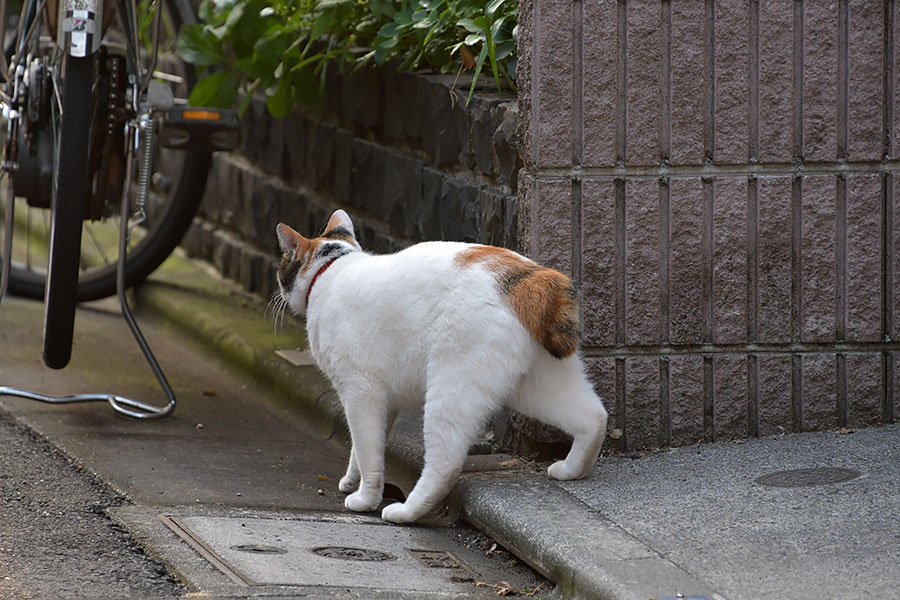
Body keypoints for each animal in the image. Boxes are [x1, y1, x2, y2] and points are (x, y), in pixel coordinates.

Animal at [276, 211, 612, 524]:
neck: (331, 270)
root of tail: (531, 275)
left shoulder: (361, 392)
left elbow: (368, 450)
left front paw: (366, 498)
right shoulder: (386, 400)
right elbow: (361, 449)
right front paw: (350, 480)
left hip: (451, 390)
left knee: (445, 464)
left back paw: (406, 512)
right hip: (538, 385)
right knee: (594, 416)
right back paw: (571, 468)